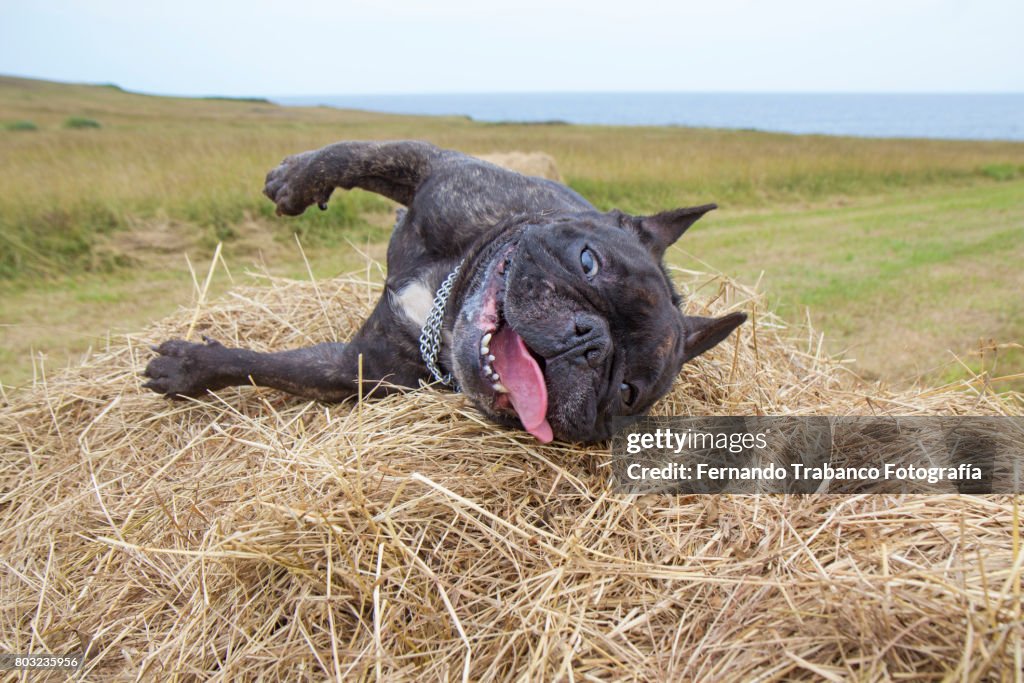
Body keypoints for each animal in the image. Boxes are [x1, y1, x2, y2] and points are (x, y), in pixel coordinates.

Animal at [144, 141, 745, 446]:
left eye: (625, 392)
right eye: (587, 261)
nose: (588, 341)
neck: (447, 297)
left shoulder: (355, 368)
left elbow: (273, 367)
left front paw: (189, 367)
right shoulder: (435, 170)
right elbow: (355, 153)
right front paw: (297, 179)